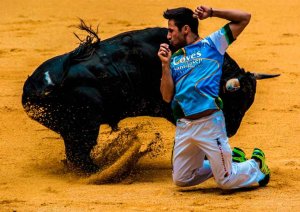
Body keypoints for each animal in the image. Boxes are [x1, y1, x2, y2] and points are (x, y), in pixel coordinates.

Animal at [22, 26, 278, 172]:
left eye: (248, 103)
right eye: (236, 101)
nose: (232, 130)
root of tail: (41, 83)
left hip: (72, 127)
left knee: (75, 154)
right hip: (86, 125)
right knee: (79, 155)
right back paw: (101, 171)